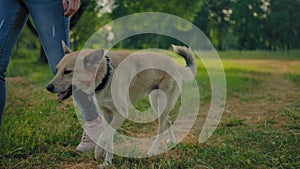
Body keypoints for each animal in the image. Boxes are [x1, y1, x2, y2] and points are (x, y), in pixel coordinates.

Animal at [46, 41, 197, 168]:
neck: (106, 75)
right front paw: (107, 162)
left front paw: (98, 152)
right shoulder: (107, 114)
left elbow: (104, 135)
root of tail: (175, 64)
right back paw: (172, 141)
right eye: (56, 69)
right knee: (168, 120)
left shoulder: (121, 114)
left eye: (67, 71)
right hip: (156, 103)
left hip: (162, 103)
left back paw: (153, 150)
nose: (48, 87)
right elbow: (108, 138)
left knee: (161, 127)